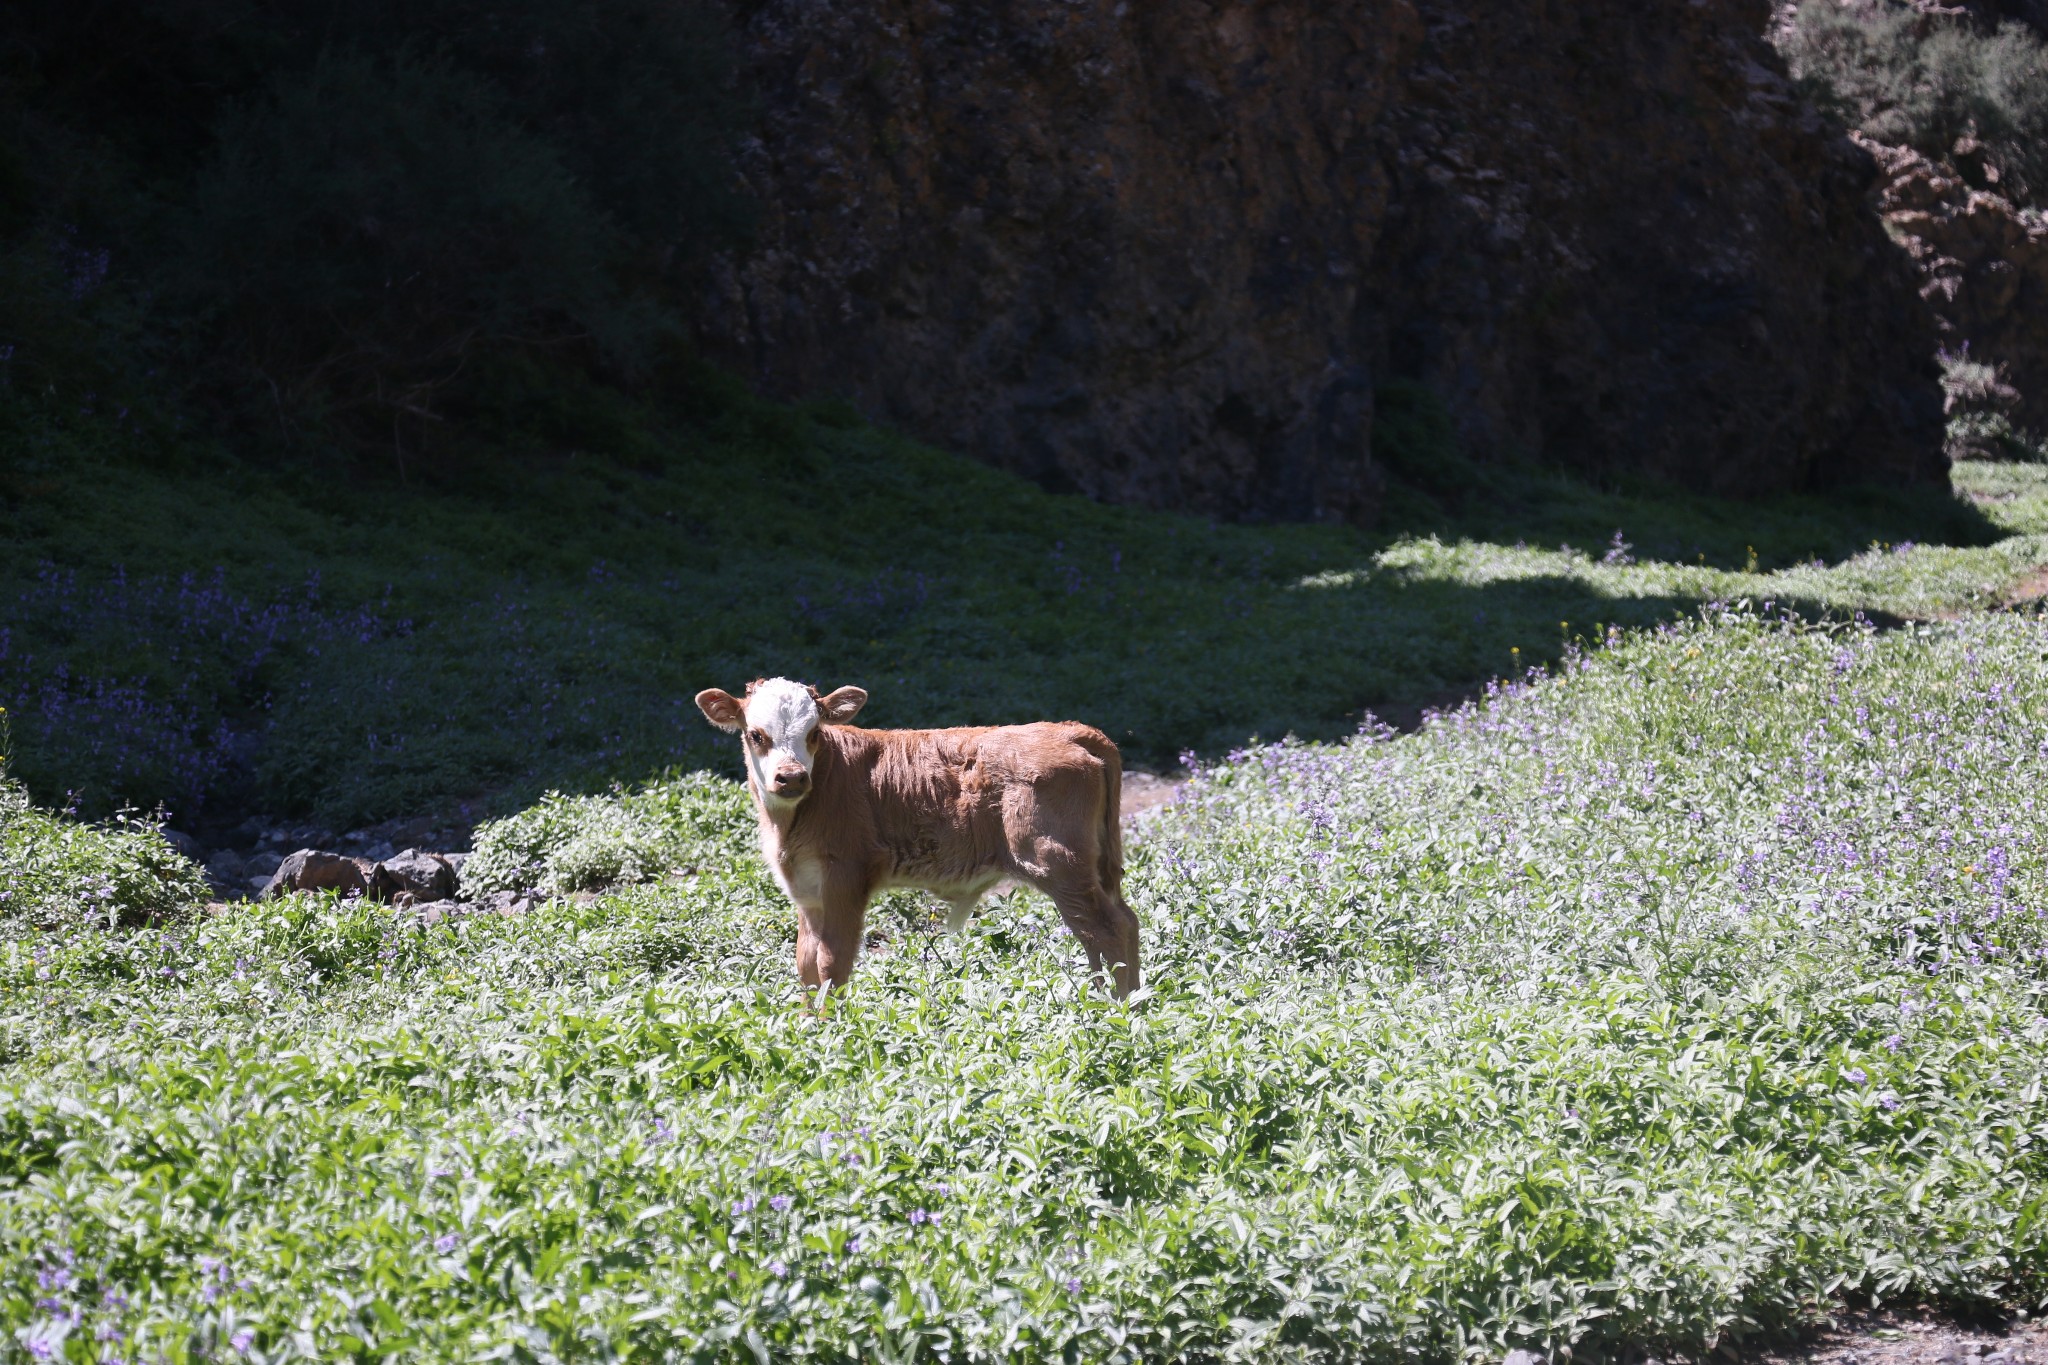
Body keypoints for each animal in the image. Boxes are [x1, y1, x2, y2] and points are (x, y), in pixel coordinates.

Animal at [688, 679, 1138, 998]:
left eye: (813, 732)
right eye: (756, 735)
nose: (792, 777)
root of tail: (1069, 730)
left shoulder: (846, 876)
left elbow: (833, 962)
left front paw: (832, 1033)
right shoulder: (809, 888)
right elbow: (807, 963)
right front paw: (806, 1027)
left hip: (1058, 863)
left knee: (1107, 929)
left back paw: (1118, 1010)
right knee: (1118, 924)